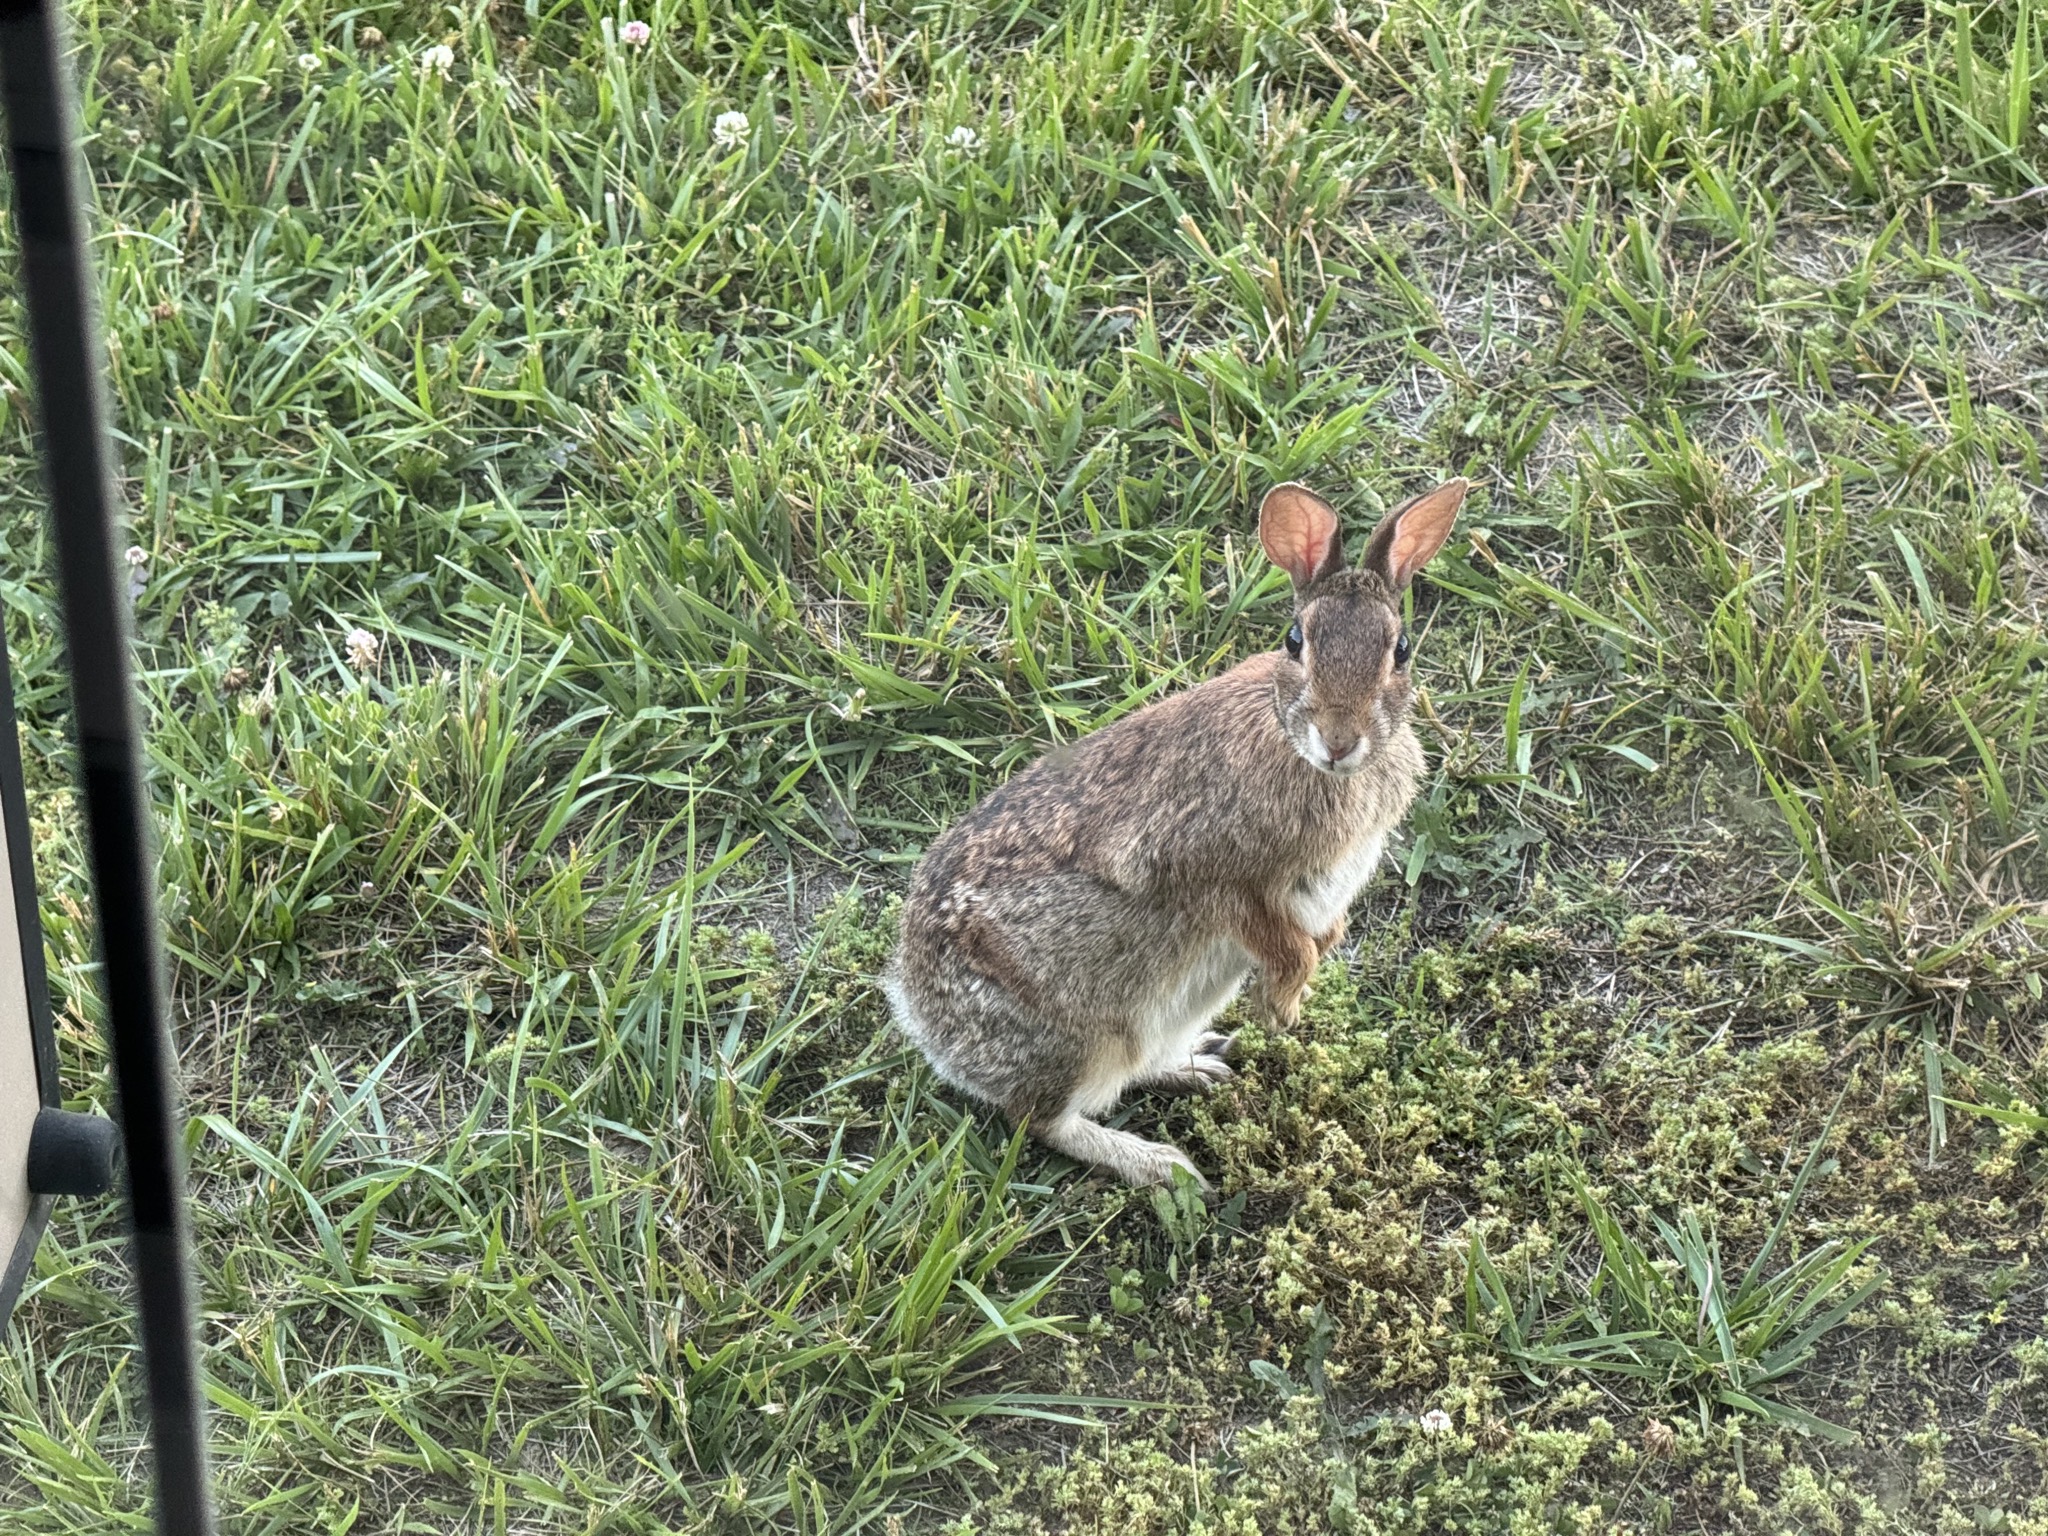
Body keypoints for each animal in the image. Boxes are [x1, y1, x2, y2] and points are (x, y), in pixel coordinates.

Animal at [883, 477, 1468, 1190]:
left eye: (1401, 649)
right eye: (1294, 640)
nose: (1338, 740)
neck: (1295, 745)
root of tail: (920, 1014)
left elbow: (1324, 935)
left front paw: (1300, 983)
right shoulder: (1209, 875)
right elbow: (1280, 943)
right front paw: (1286, 1006)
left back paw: (1200, 1066)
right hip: (1078, 1032)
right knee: (1044, 1121)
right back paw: (1162, 1165)